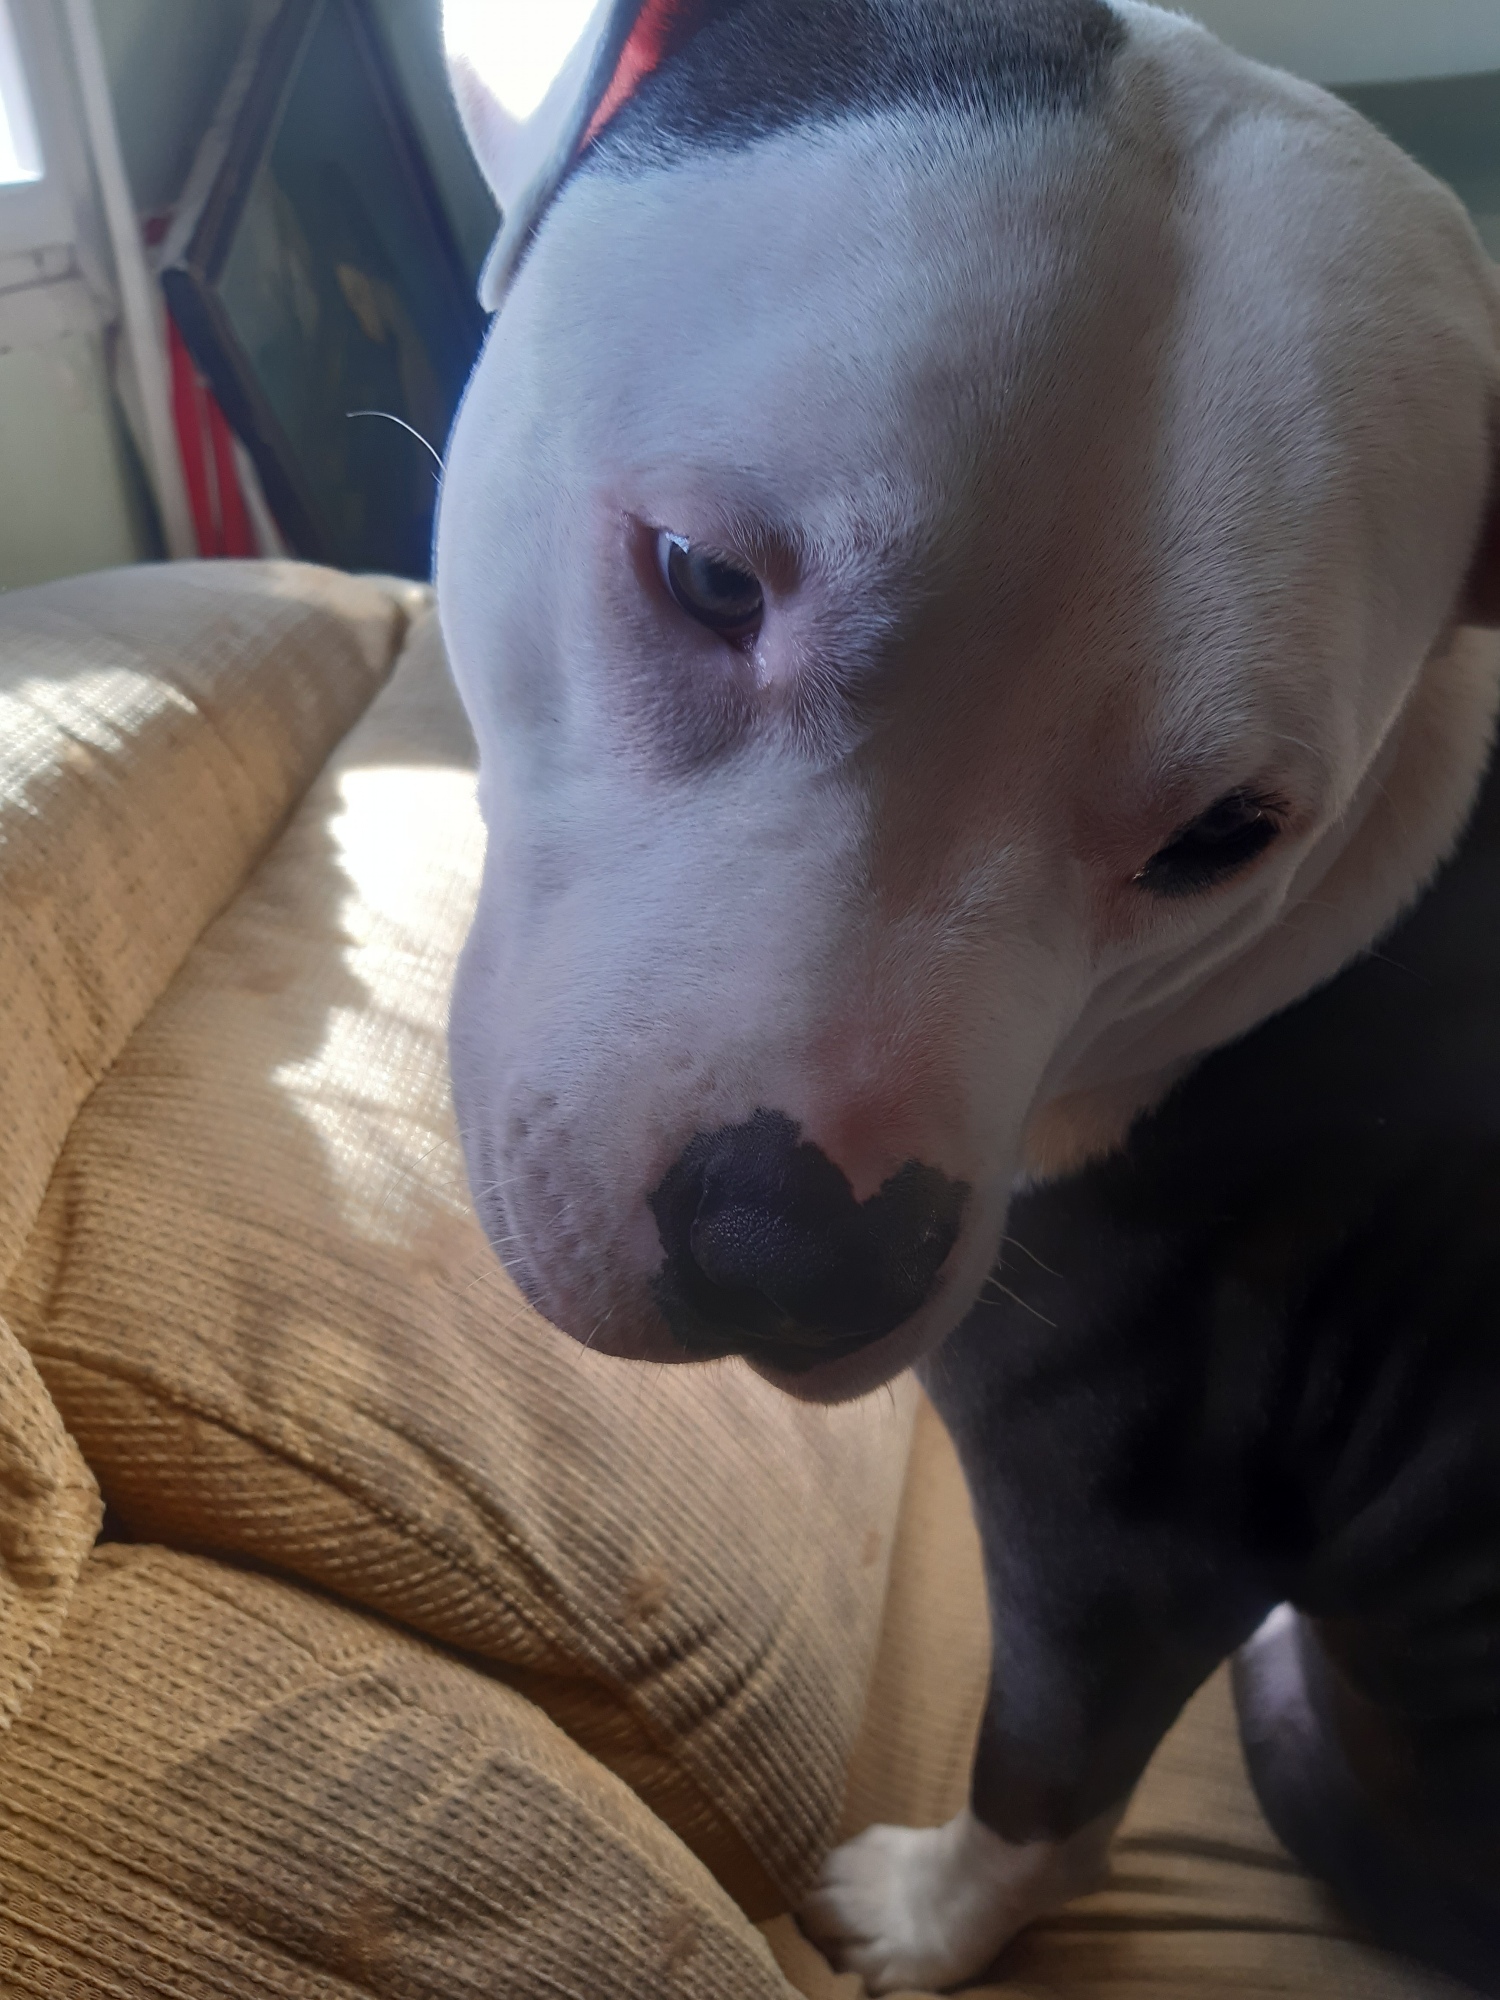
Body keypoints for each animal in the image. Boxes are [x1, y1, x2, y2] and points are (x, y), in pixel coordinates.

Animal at [436, 0, 1500, 1989]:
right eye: (708, 576)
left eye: (1228, 835)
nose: (797, 1246)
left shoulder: (1131, 1521)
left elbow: (1048, 1778)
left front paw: (930, 1919)